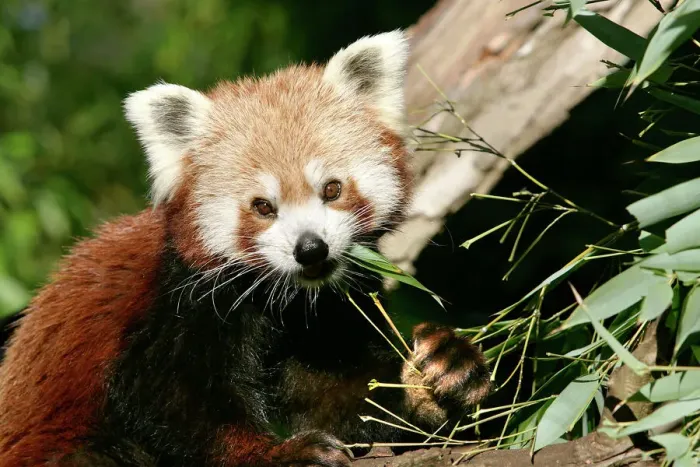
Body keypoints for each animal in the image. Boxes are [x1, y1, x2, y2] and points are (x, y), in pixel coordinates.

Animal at [0, 31, 491, 466]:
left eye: (331, 189)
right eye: (263, 206)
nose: (310, 250)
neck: (284, 303)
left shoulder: (323, 315)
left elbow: (342, 399)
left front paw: (439, 375)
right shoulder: (179, 305)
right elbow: (178, 405)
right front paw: (276, 454)